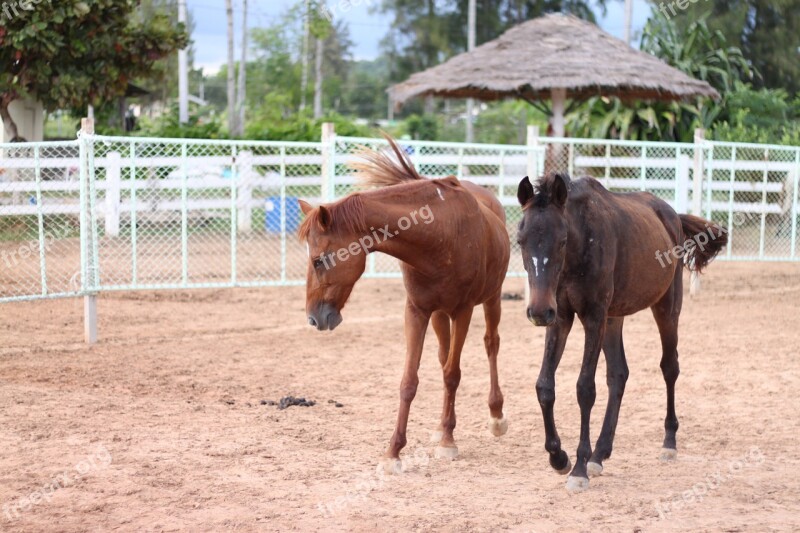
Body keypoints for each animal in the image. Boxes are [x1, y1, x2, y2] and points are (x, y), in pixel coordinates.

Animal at [296, 135, 510, 472]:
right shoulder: (417, 312)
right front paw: (394, 451)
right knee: (443, 356)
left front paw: (449, 442)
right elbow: (410, 381)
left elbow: (453, 374)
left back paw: (495, 416)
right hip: (439, 315)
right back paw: (440, 426)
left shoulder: (463, 311)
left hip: (492, 298)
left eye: (319, 260)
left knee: (491, 344)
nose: (314, 318)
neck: (441, 237)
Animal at [516, 172, 728, 492]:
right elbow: (545, 385)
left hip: (666, 307)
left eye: (562, 241)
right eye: (520, 240)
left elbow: (585, 389)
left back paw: (668, 443)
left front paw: (578, 468)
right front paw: (559, 457)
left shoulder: (594, 317)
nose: (539, 312)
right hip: (614, 318)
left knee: (670, 367)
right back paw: (600, 453)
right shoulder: (562, 317)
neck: (582, 241)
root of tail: (672, 217)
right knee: (618, 373)